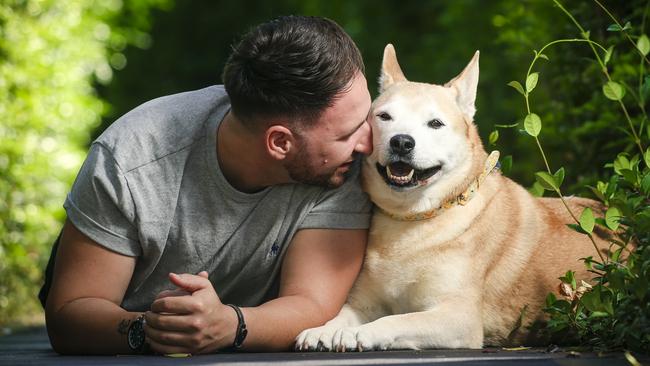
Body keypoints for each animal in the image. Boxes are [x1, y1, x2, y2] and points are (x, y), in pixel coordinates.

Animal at [294, 44, 608, 350]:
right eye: (384, 117)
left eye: (435, 123)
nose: (401, 142)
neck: (413, 218)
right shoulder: (363, 303)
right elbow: (341, 316)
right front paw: (322, 331)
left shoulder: (459, 318)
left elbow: (397, 320)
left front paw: (360, 334)